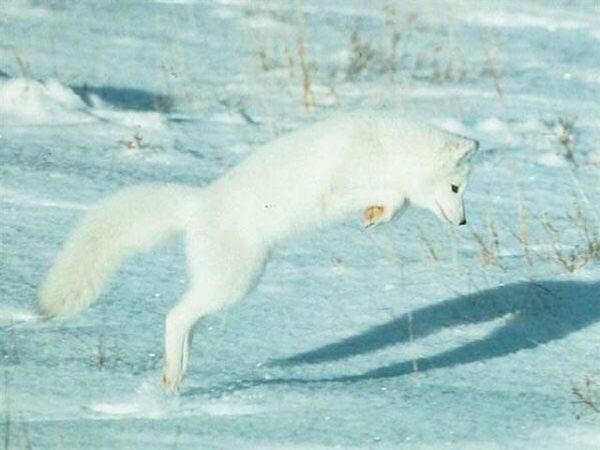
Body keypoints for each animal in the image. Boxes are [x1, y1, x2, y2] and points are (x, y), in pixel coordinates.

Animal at [38, 112, 478, 390]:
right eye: (456, 188)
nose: (462, 223)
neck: (387, 149)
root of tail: (197, 206)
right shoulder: (340, 187)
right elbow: (393, 194)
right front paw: (379, 209)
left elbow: (397, 202)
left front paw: (376, 217)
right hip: (235, 281)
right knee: (175, 316)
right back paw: (173, 376)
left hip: (225, 283)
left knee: (185, 320)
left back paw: (177, 374)